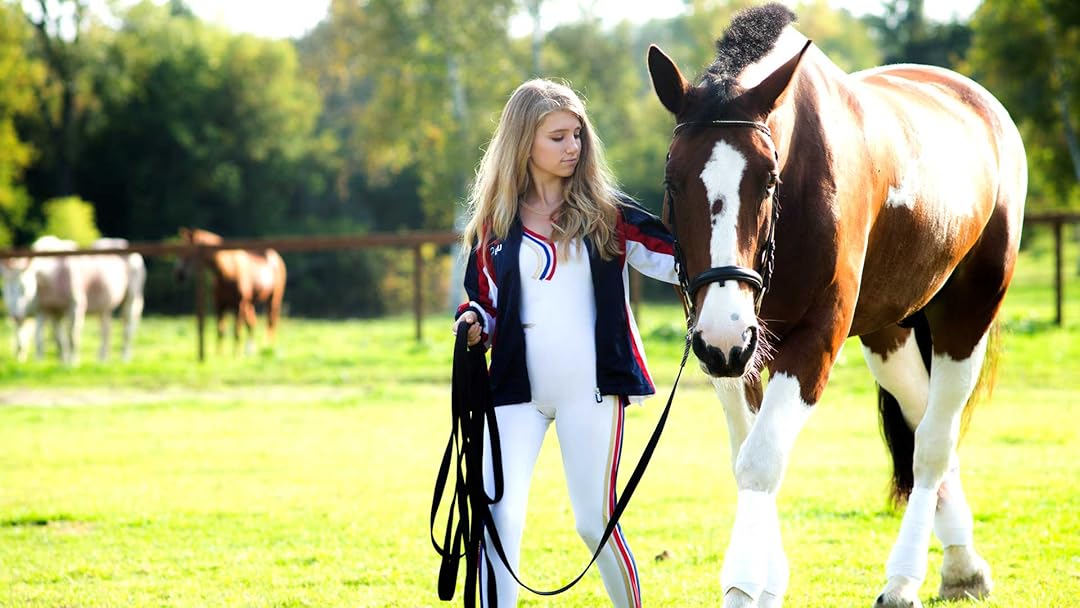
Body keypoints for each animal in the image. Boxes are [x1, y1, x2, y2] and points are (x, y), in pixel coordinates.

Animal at [1, 236, 146, 364]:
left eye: (24, 287)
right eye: (5, 289)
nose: (15, 316)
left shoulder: (74, 307)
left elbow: (71, 336)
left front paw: (72, 362)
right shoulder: (51, 310)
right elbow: (57, 339)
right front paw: (61, 361)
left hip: (132, 299)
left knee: (127, 329)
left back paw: (125, 358)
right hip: (104, 307)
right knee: (106, 330)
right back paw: (102, 359)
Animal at [646, 4, 1025, 608]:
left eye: (768, 180)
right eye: (672, 180)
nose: (726, 336)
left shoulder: (812, 338)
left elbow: (760, 461)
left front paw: (746, 584)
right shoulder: (728, 348)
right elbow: (747, 451)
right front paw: (767, 580)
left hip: (967, 315)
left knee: (933, 445)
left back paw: (905, 580)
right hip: (887, 334)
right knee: (920, 419)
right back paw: (961, 565)